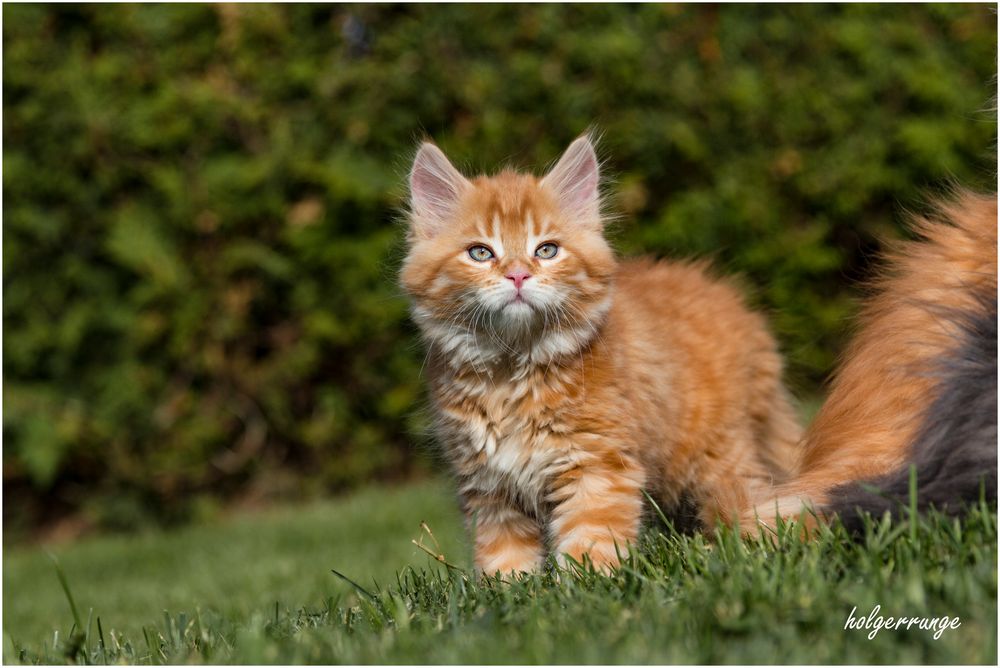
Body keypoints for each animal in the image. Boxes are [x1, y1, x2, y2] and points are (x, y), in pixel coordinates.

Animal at [402, 136, 800, 576]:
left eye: (547, 250)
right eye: (480, 253)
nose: (518, 275)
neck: (512, 370)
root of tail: (739, 308)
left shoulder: (597, 468)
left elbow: (588, 546)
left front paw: (582, 584)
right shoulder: (490, 489)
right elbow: (503, 559)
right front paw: (510, 589)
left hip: (720, 459)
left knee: (754, 500)